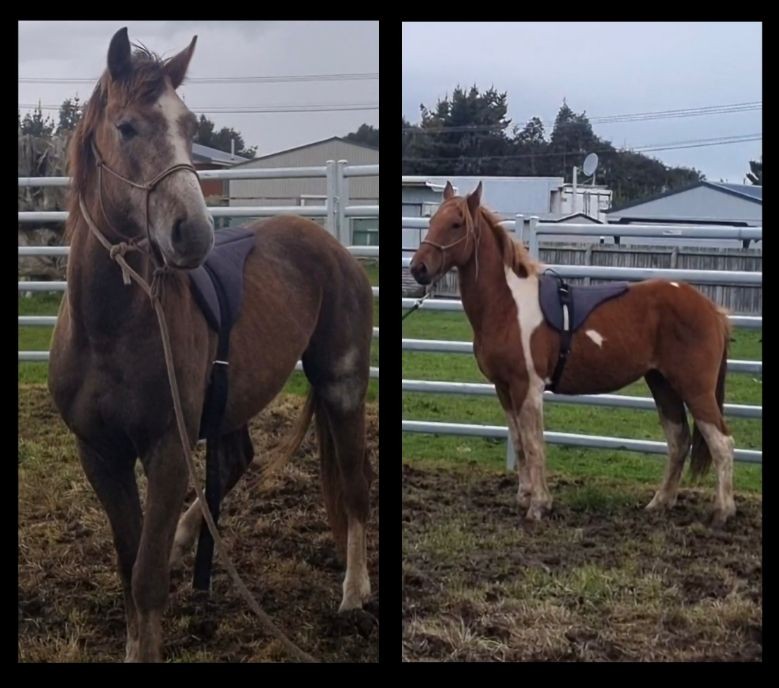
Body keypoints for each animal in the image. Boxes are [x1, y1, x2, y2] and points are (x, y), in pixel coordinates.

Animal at [48, 27, 374, 662]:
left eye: (190, 124)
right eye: (127, 127)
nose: (193, 234)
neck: (108, 329)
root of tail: (331, 245)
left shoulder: (167, 450)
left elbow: (146, 579)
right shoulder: (99, 454)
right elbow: (128, 568)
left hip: (342, 387)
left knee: (353, 483)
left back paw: (354, 593)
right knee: (237, 460)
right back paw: (187, 539)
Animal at [409, 181, 735, 526]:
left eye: (456, 224)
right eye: (432, 221)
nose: (418, 268)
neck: (507, 305)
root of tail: (712, 310)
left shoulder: (528, 386)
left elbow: (535, 444)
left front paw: (539, 505)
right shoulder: (503, 387)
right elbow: (520, 442)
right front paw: (523, 496)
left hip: (695, 388)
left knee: (721, 444)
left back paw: (721, 512)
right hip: (663, 383)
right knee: (679, 440)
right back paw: (659, 503)